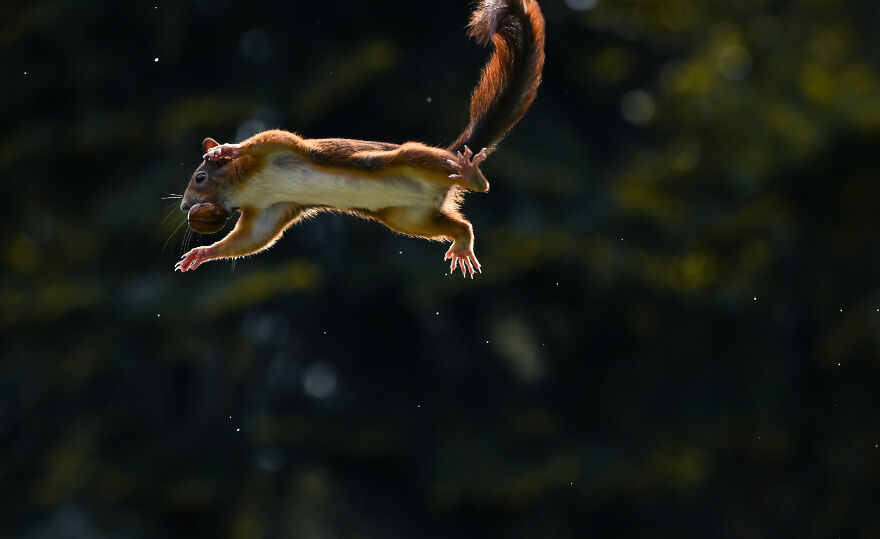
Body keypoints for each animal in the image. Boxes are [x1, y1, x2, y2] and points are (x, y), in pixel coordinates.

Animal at [175, 0, 545, 278]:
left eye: (200, 177)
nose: (184, 207)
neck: (248, 185)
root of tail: (451, 164)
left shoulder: (279, 152)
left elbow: (269, 138)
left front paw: (229, 147)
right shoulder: (270, 209)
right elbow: (251, 240)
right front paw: (203, 253)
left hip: (409, 161)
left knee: (472, 183)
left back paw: (472, 175)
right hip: (408, 217)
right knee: (459, 224)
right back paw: (463, 240)